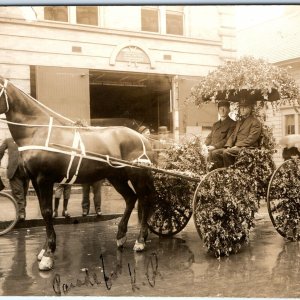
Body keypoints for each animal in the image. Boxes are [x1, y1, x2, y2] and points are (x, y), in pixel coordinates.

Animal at [0, 76, 155, 270]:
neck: (36, 131)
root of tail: (143, 138)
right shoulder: (36, 181)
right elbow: (44, 212)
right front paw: (44, 250)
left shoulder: (44, 179)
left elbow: (47, 212)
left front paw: (48, 254)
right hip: (116, 177)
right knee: (131, 199)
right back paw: (120, 236)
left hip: (137, 176)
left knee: (144, 200)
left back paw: (140, 240)